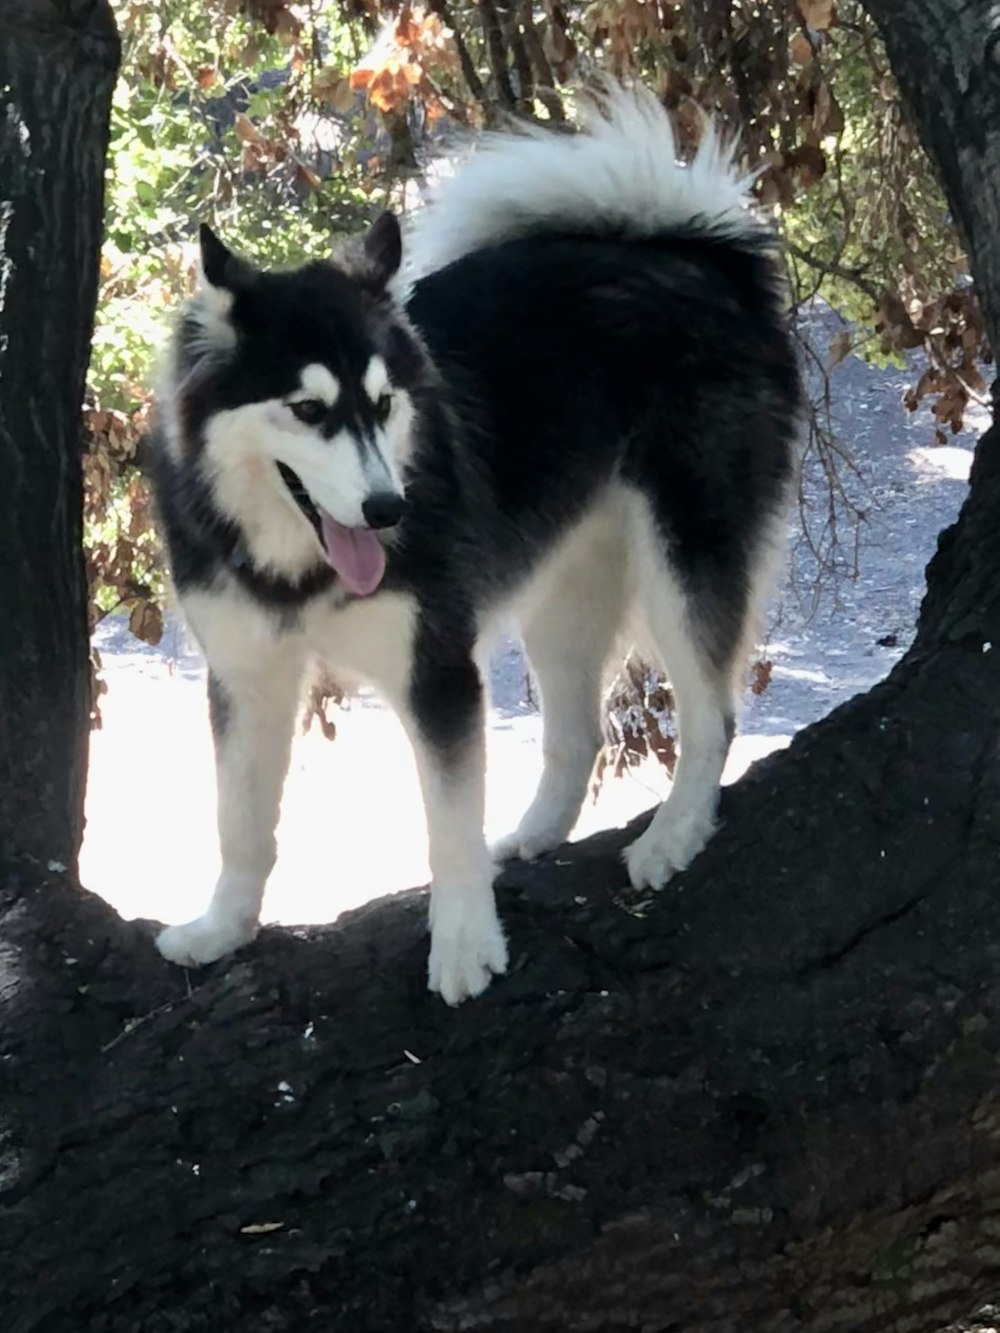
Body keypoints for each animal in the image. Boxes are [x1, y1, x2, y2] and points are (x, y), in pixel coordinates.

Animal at [150, 85, 805, 1002]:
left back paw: (674, 833)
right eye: (308, 410)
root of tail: (695, 257)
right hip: (565, 593)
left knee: (713, 713)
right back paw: (538, 832)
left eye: (385, 403)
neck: (296, 561)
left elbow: (448, 825)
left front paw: (463, 943)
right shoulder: (246, 674)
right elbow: (239, 819)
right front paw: (221, 928)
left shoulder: (437, 669)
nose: (388, 509)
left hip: (683, 556)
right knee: (577, 731)